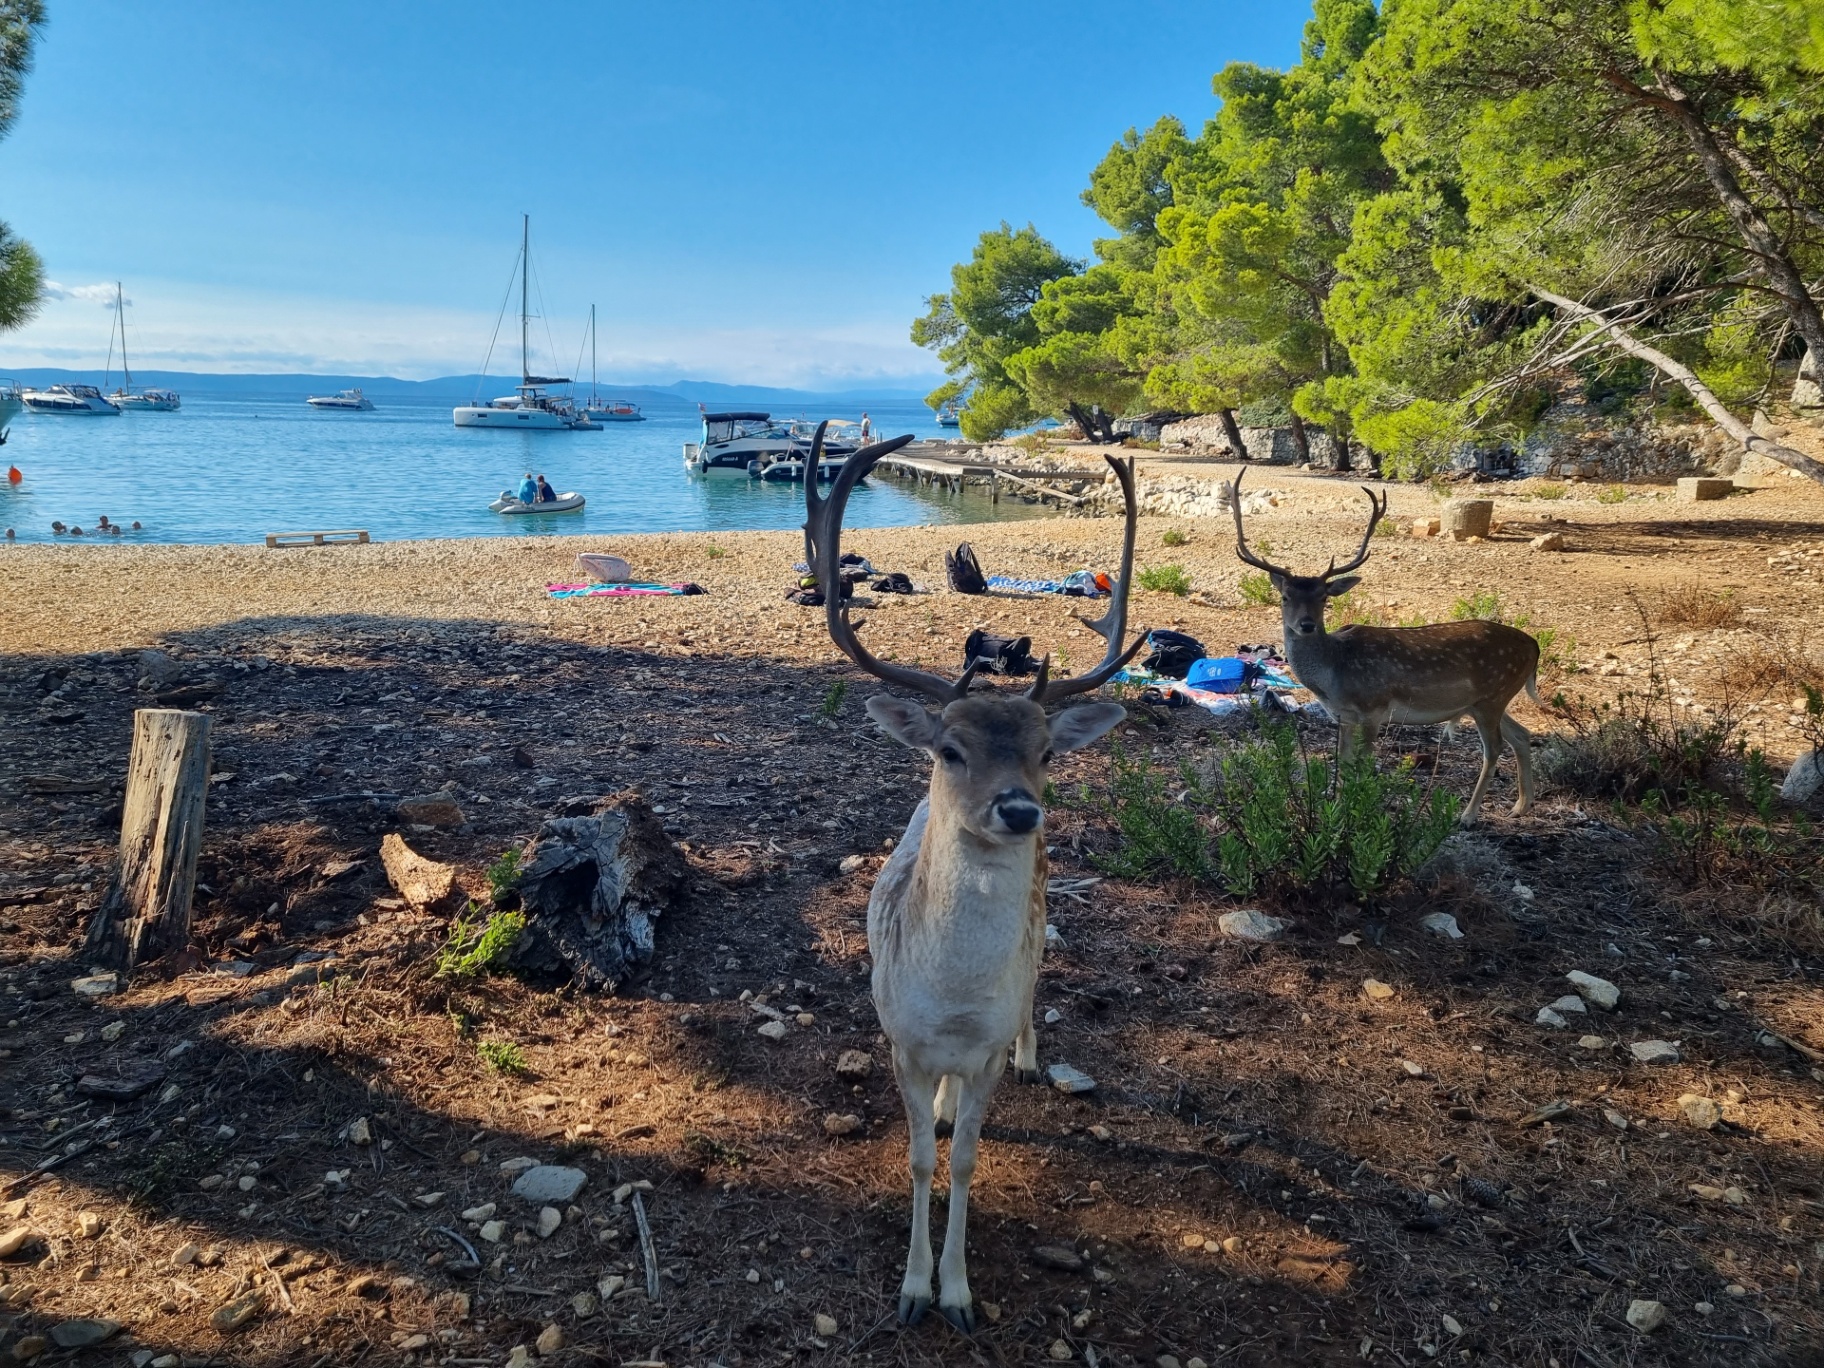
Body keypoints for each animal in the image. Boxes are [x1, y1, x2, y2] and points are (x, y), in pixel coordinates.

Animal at [803, 424, 1143, 1333]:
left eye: (1048, 750)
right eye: (950, 749)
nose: (1021, 811)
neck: (951, 1004)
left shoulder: (980, 1046)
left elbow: (962, 1163)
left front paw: (955, 1292)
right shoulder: (899, 1039)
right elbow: (922, 1159)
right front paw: (912, 1289)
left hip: (1043, 930)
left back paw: (1031, 1059)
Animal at [1229, 468, 1541, 825]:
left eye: (1323, 597)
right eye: (1285, 596)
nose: (1306, 625)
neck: (1333, 676)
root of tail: (1535, 647)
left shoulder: (1373, 708)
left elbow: (1362, 766)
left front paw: (1357, 815)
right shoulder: (1343, 716)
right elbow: (1343, 763)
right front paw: (1336, 812)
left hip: (1492, 696)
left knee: (1495, 749)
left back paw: (1468, 815)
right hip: (1489, 701)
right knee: (1523, 735)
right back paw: (1521, 806)